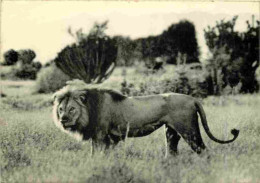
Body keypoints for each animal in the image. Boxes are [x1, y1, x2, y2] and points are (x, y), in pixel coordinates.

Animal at [52, 84, 240, 154]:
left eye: (72, 109)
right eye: (60, 110)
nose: (63, 120)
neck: (89, 110)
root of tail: (193, 99)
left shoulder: (100, 136)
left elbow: (96, 154)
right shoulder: (107, 138)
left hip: (189, 130)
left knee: (203, 150)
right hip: (171, 132)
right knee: (172, 152)